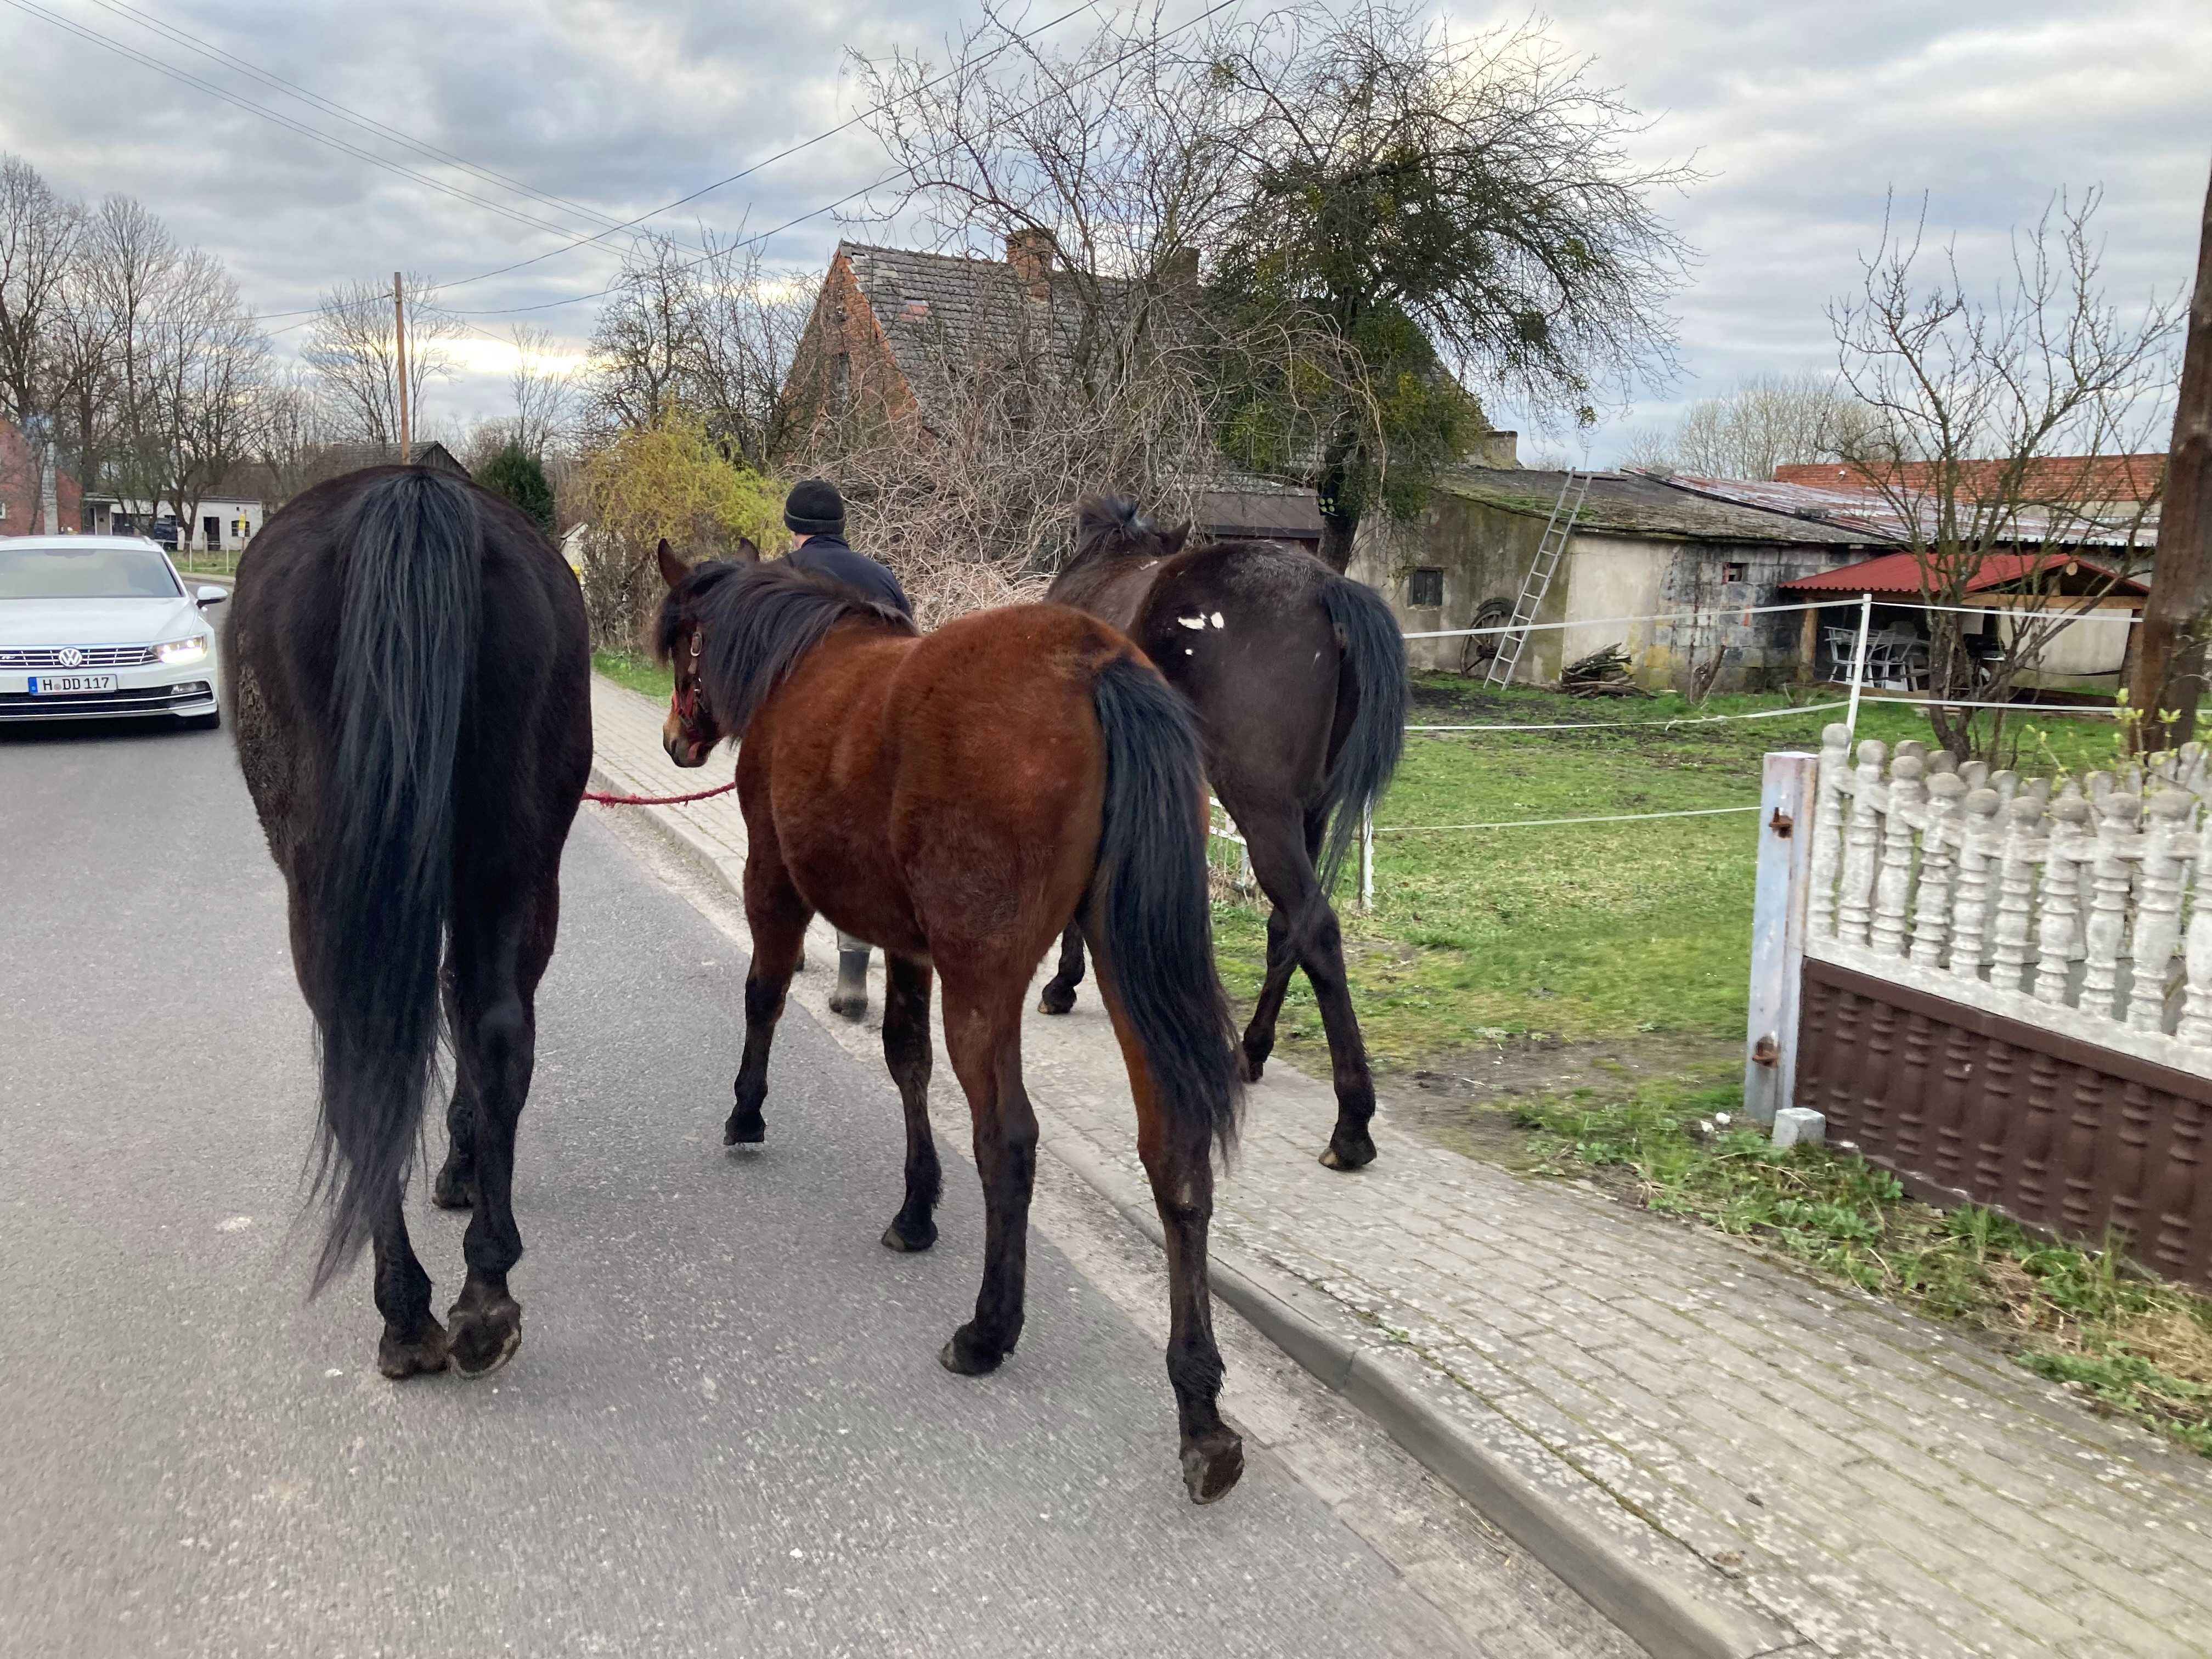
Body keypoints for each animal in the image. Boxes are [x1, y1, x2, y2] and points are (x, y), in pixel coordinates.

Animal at [227, 471, 588, 1389]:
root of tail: (413, 493)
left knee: (367, 1059)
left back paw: (407, 1311)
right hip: (509, 865)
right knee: (494, 1032)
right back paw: (483, 1299)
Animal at [646, 546, 1256, 1504]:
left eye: (682, 645)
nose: (677, 740)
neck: (800, 663)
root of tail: (1096, 664)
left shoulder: (771, 882)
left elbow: (765, 995)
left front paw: (747, 1110)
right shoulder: (910, 947)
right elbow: (905, 1060)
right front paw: (915, 1207)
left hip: (985, 979)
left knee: (1008, 1139)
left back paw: (988, 1331)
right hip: (1123, 964)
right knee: (1174, 1158)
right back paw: (1200, 1413)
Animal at [1040, 500, 1415, 1177]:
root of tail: (1328, 589)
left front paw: (1063, 982)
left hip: (1261, 806)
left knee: (1317, 929)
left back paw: (1352, 1124)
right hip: (1308, 812)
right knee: (1288, 926)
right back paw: (1252, 1050)